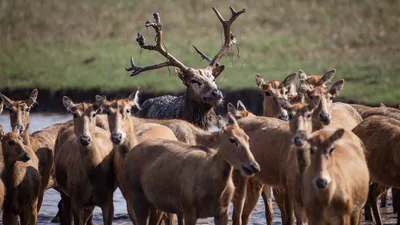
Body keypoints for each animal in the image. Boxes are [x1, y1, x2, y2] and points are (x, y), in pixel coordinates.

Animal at [54, 97, 115, 225]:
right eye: (74, 114)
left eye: (93, 114)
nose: (85, 139)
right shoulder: (76, 201)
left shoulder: (108, 199)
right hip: (64, 191)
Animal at [122, 113, 260, 225]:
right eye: (232, 139)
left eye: (247, 138)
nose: (254, 166)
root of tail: (129, 154)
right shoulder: (189, 211)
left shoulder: (222, 213)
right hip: (137, 196)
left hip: (153, 203)